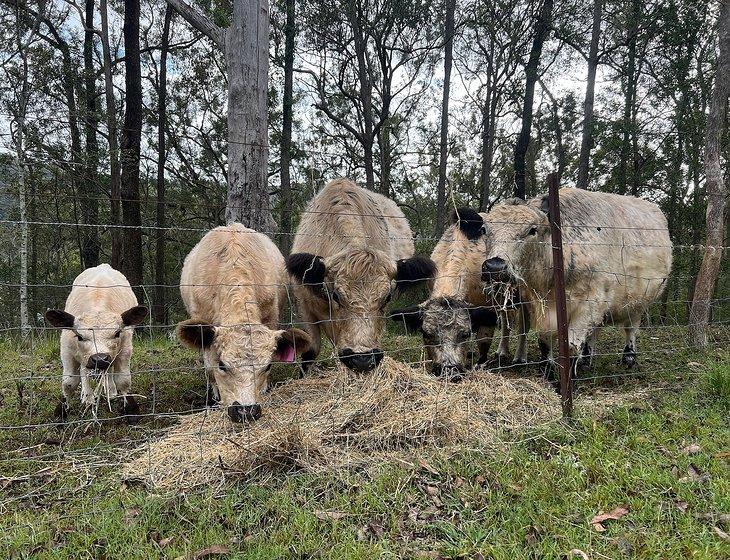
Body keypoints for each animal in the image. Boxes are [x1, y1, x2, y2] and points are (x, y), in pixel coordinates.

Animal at [43, 264, 149, 418]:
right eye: (79, 336)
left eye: (117, 333)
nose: (99, 359)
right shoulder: (67, 350)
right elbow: (69, 382)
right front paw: (62, 411)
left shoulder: (125, 349)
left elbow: (123, 380)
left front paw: (130, 409)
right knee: (83, 369)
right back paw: (87, 397)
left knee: (108, 369)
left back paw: (110, 391)